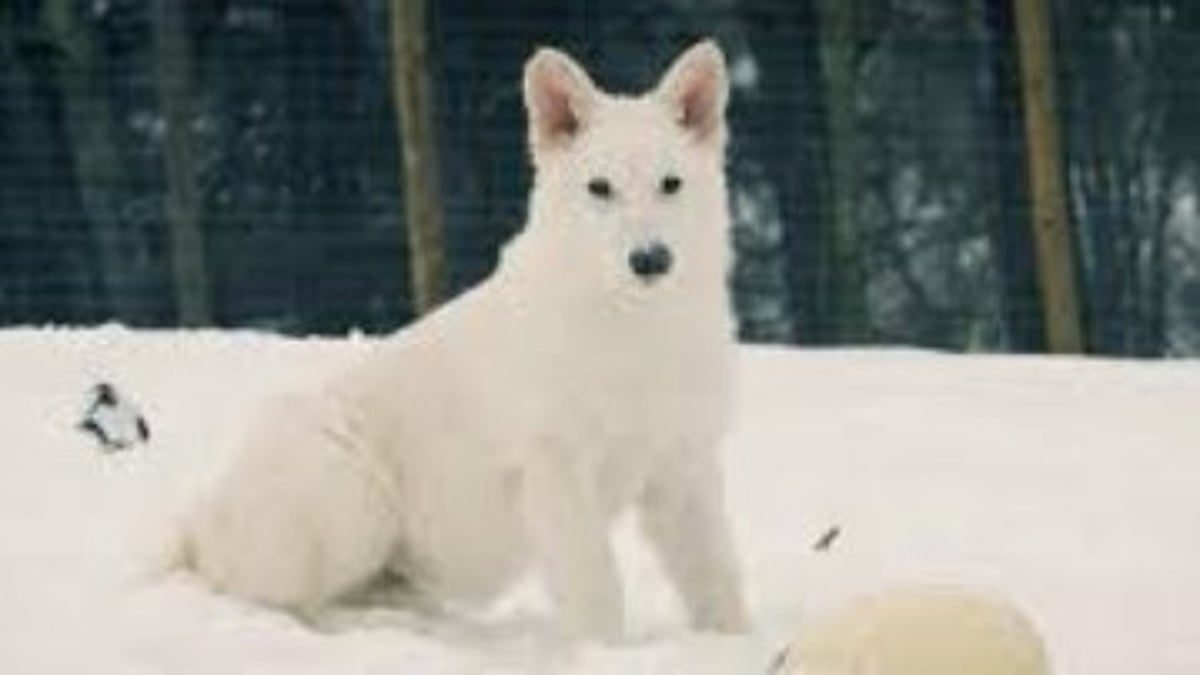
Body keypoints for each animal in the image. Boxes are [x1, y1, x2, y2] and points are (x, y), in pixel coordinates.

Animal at [178, 39, 748, 640]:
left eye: (671, 184)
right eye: (600, 188)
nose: (650, 259)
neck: (636, 329)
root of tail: (200, 527)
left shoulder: (684, 466)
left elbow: (717, 579)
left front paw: (737, 644)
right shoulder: (556, 470)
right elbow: (597, 588)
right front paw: (604, 652)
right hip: (352, 495)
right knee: (272, 601)